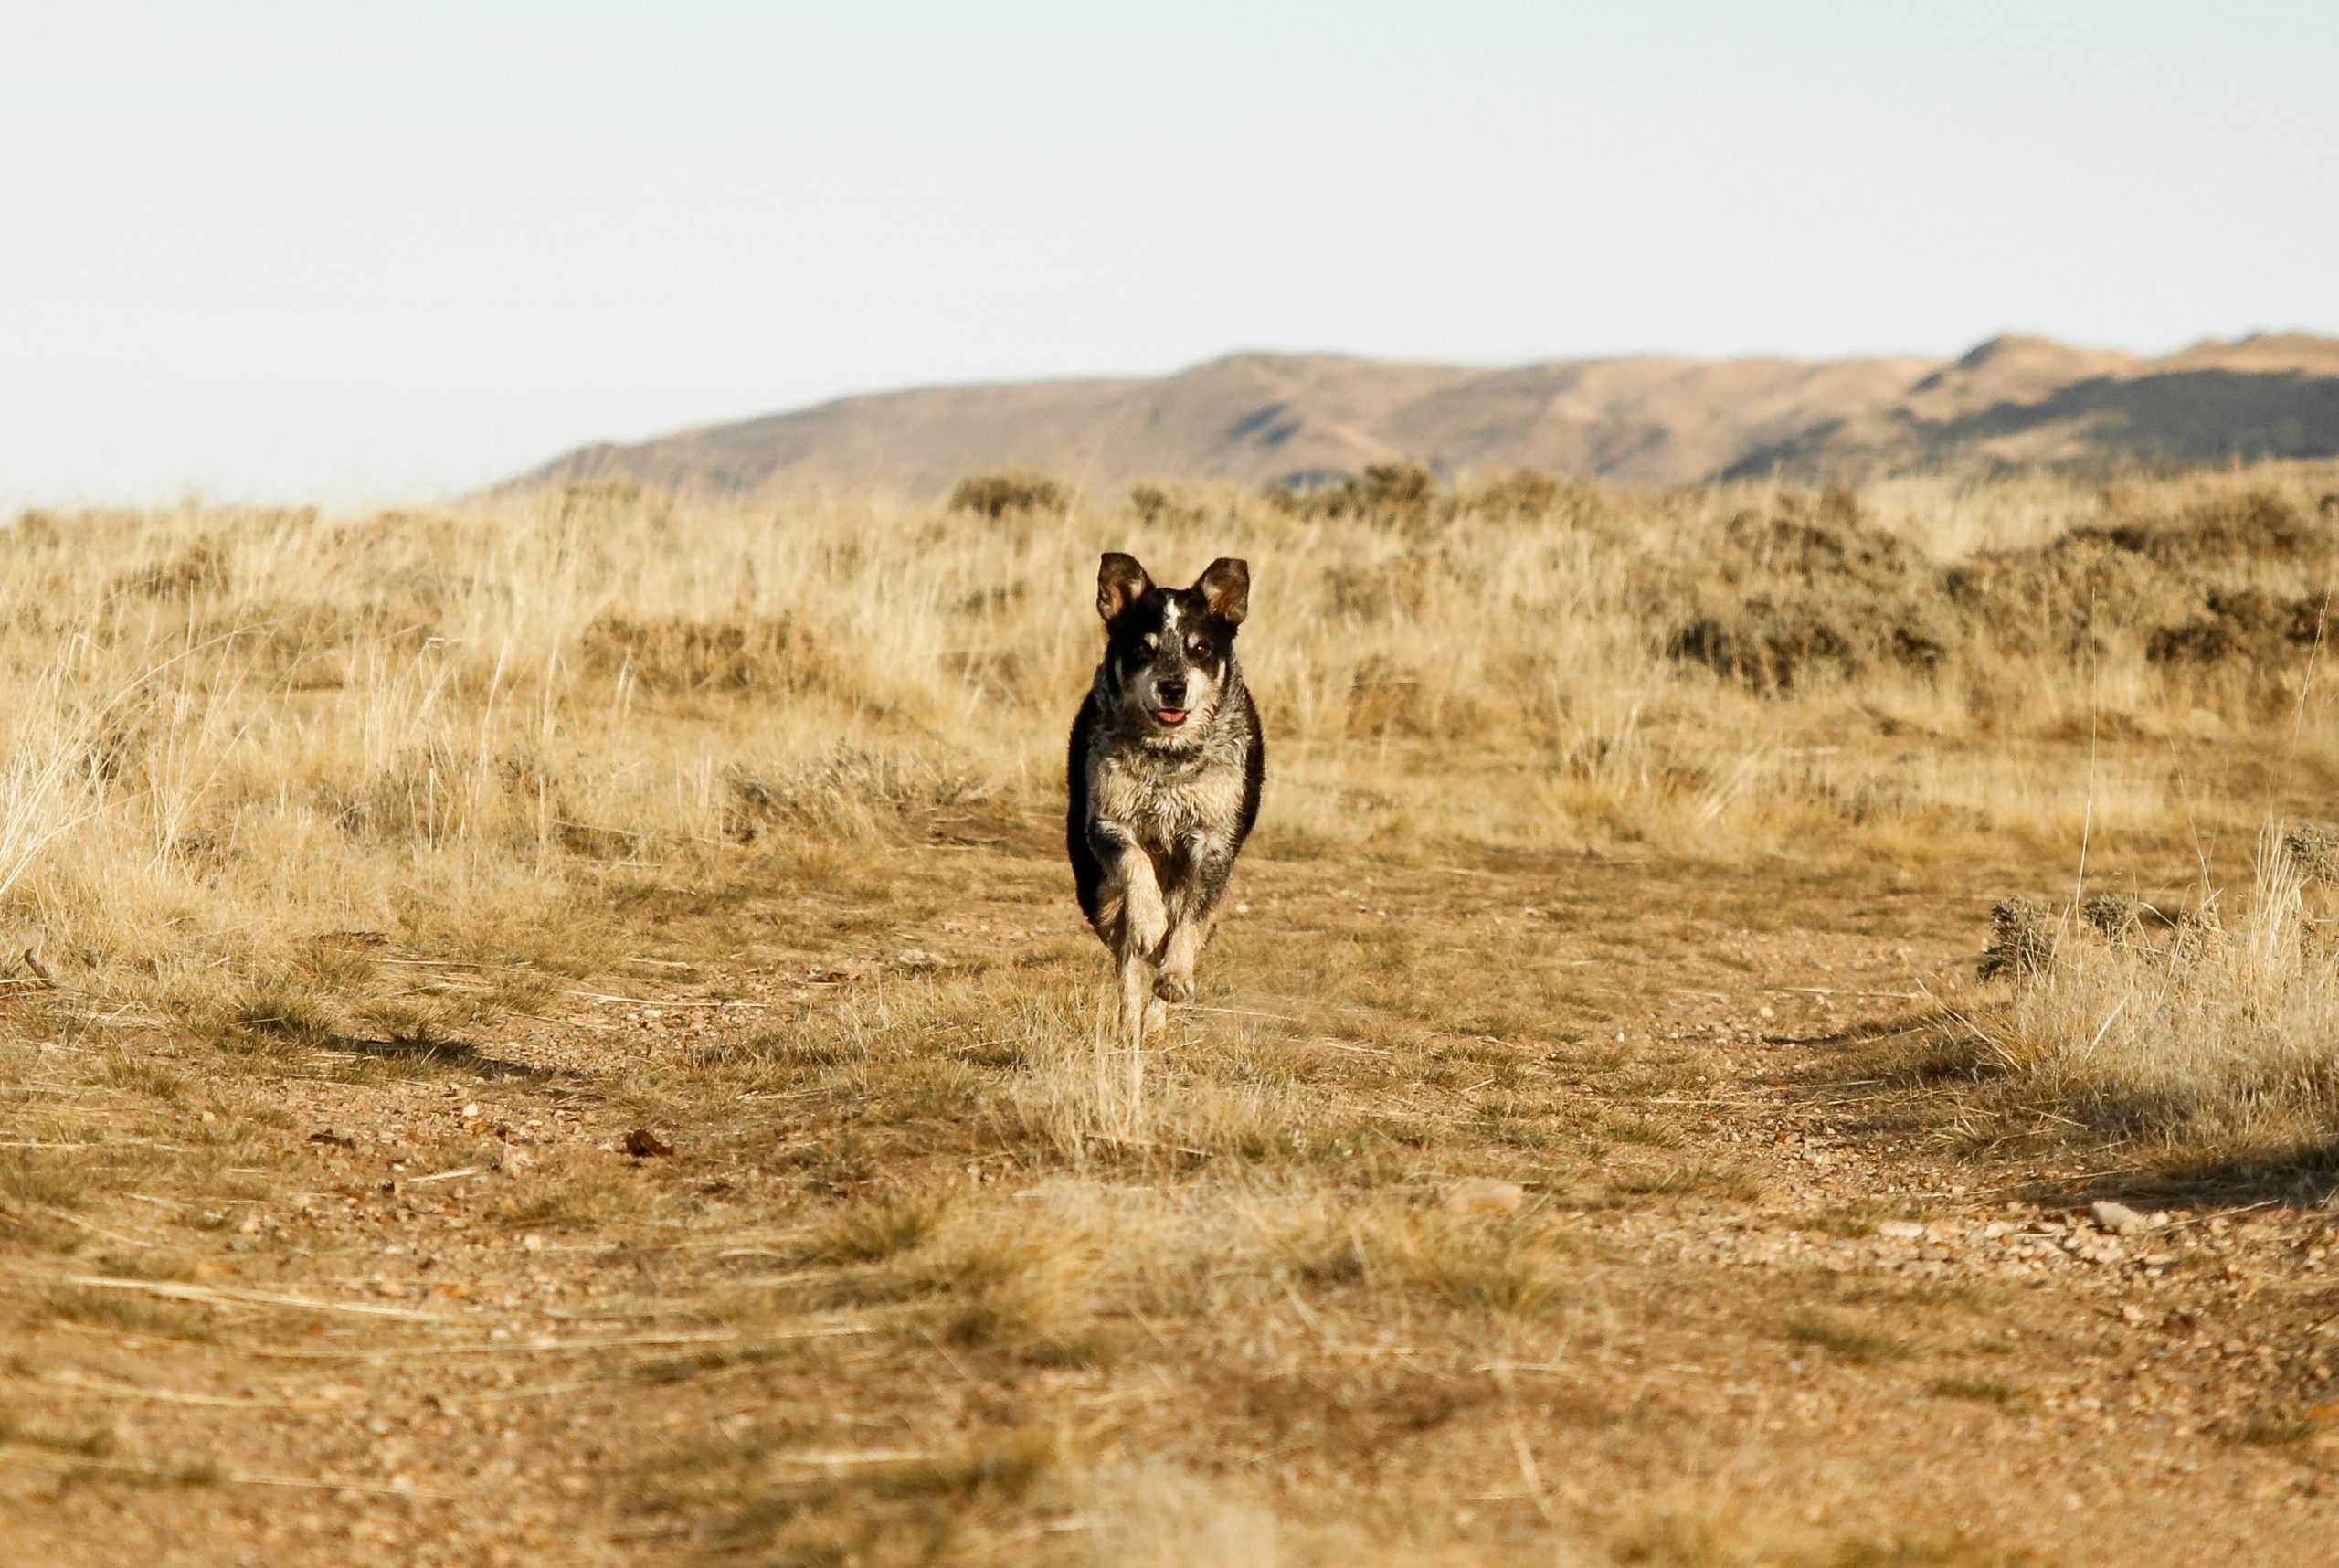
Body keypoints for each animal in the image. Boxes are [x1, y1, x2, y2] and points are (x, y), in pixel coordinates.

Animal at [1071, 559, 1272, 1039]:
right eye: (1143, 648)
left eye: (1200, 648)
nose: (1173, 687)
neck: (1169, 758)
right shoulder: (1106, 821)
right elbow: (1134, 862)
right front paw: (1149, 919)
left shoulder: (1214, 842)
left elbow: (1189, 923)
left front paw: (1176, 976)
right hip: (1097, 892)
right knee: (1126, 954)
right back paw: (1131, 1019)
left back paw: (1157, 1015)